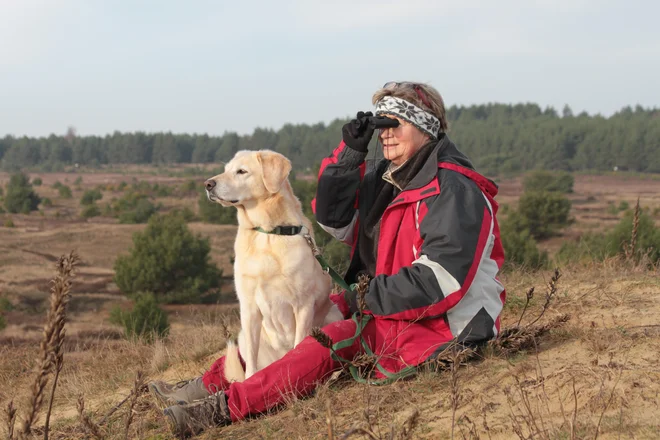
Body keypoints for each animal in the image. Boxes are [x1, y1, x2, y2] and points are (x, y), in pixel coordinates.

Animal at [205, 149, 340, 382]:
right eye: (226, 169)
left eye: (241, 171)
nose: (208, 184)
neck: (267, 233)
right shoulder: (248, 307)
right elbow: (250, 361)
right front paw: (250, 380)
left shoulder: (303, 304)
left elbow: (300, 346)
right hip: (243, 336)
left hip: (334, 314)